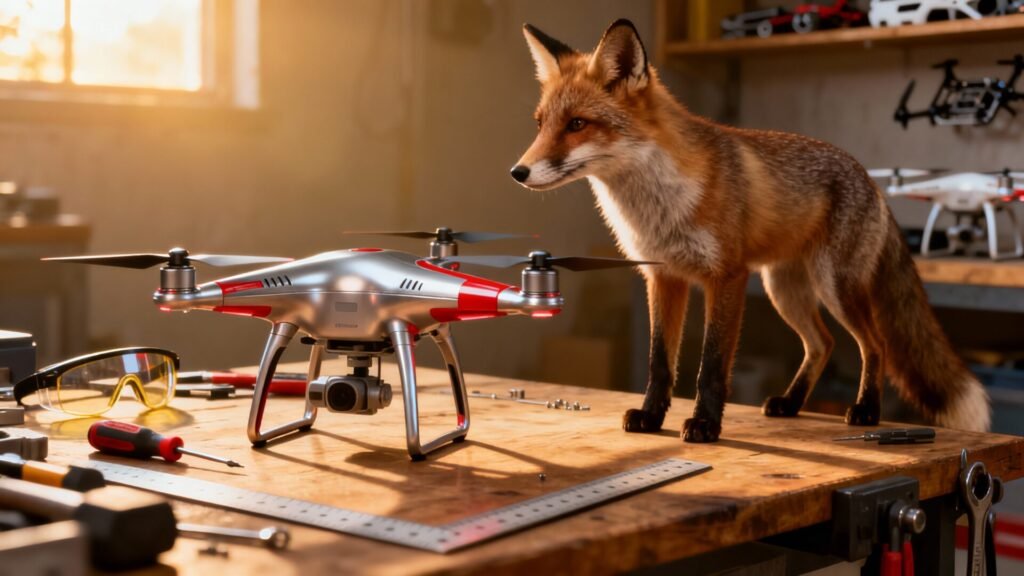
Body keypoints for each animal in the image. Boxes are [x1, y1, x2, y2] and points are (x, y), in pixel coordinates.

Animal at [510, 19, 990, 442]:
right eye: (539, 124)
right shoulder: (663, 277)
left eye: (577, 124)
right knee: (823, 344)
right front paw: (651, 417)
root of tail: (872, 181)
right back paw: (791, 403)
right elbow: (660, 363)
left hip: (834, 287)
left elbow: (710, 366)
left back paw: (866, 410)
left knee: (875, 345)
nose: (518, 172)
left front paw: (705, 426)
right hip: (785, 290)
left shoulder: (726, 277)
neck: (658, 206)